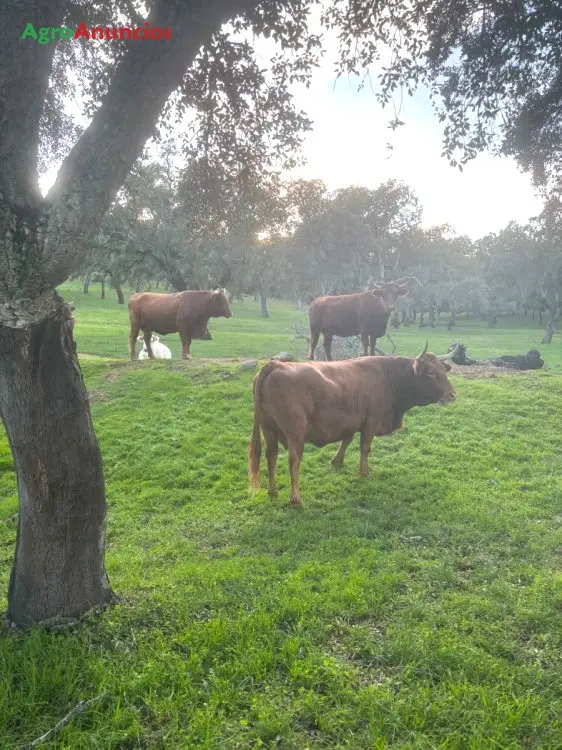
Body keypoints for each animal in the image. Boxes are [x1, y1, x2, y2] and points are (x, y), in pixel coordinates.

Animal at [247, 344, 458, 508]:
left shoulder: (352, 420)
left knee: (271, 456)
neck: (388, 377)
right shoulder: (372, 421)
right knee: (293, 461)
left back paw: (273, 491)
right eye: (431, 372)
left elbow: (346, 440)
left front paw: (337, 461)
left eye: (443, 370)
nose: (452, 395)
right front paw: (364, 472)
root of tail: (274, 365)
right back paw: (296, 499)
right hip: (295, 434)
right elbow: (365, 447)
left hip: (269, 429)